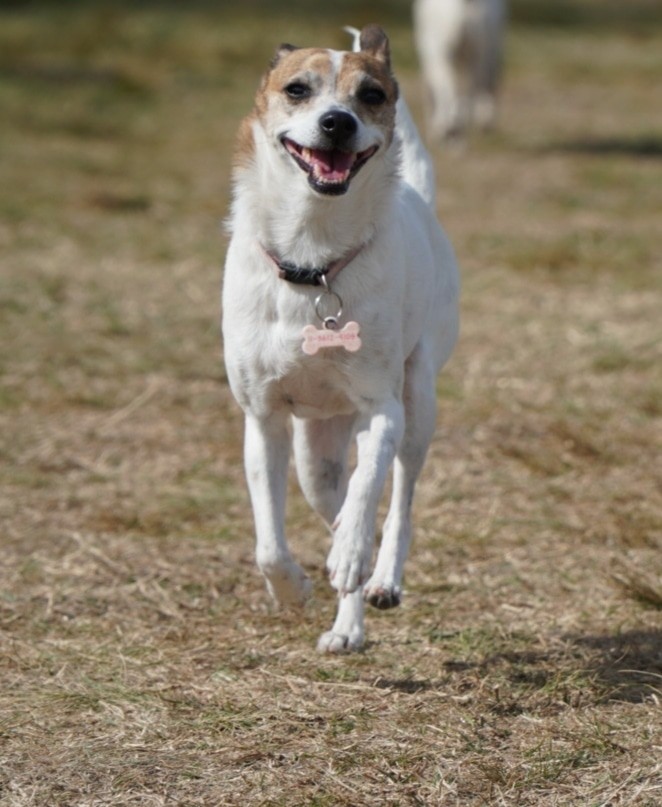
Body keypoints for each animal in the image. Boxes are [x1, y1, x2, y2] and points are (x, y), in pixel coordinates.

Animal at [223, 25, 462, 652]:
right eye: (297, 89)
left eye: (371, 95)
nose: (336, 122)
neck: (315, 257)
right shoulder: (263, 420)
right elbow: (268, 542)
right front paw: (291, 589)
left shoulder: (383, 409)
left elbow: (369, 487)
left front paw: (354, 554)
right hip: (315, 456)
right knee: (331, 495)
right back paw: (346, 623)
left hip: (419, 400)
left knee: (397, 499)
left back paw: (377, 580)